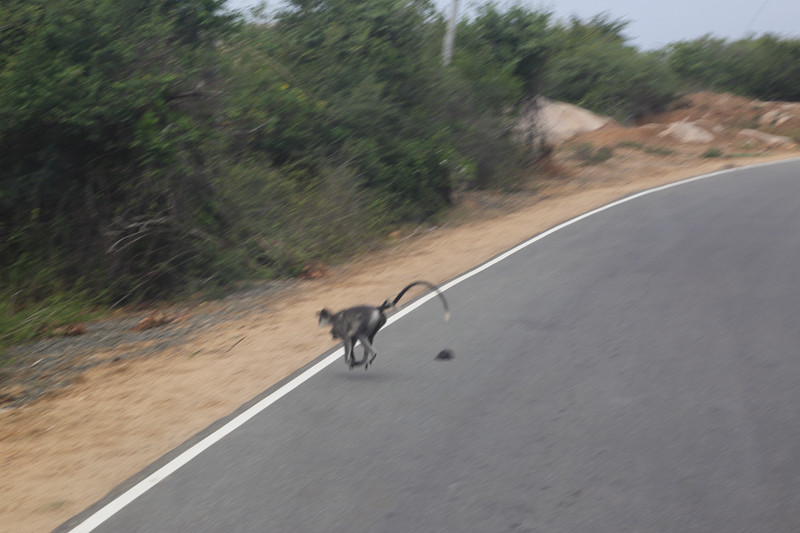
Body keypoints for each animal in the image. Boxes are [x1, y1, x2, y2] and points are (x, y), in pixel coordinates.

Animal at [318, 278, 450, 370]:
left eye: (320, 319)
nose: (332, 336)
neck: (333, 317)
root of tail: (377, 309)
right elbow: (352, 339)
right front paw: (353, 360)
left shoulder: (338, 326)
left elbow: (347, 339)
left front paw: (349, 360)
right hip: (378, 322)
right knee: (367, 337)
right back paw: (364, 360)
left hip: (369, 320)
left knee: (361, 335)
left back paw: (370, 357)